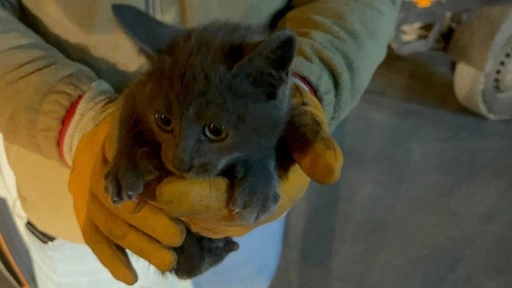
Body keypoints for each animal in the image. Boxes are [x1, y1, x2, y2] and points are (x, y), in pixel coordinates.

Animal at [107, 4, 296, 280]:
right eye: (164, 120)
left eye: (215, 130)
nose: (179, 162)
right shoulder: (138, 91)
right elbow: (127, 117)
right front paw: (124, 169)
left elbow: (261, 146)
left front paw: (258, 186)